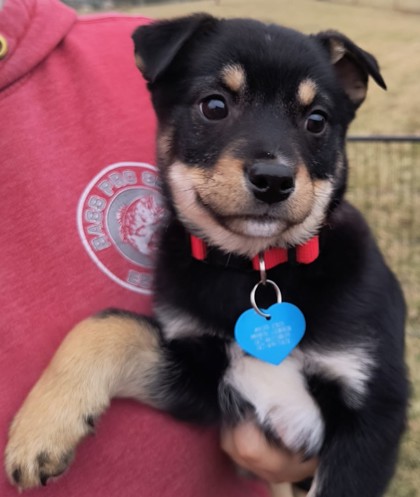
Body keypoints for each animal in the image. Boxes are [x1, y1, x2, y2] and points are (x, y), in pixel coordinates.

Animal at [4, 13, 408, 494]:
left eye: (317, 120)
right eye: (214, 106)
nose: (273, 180)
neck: (257, 267)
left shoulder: (373, 409)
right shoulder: (204, 376)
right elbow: (111, 325)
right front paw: (40, 431)